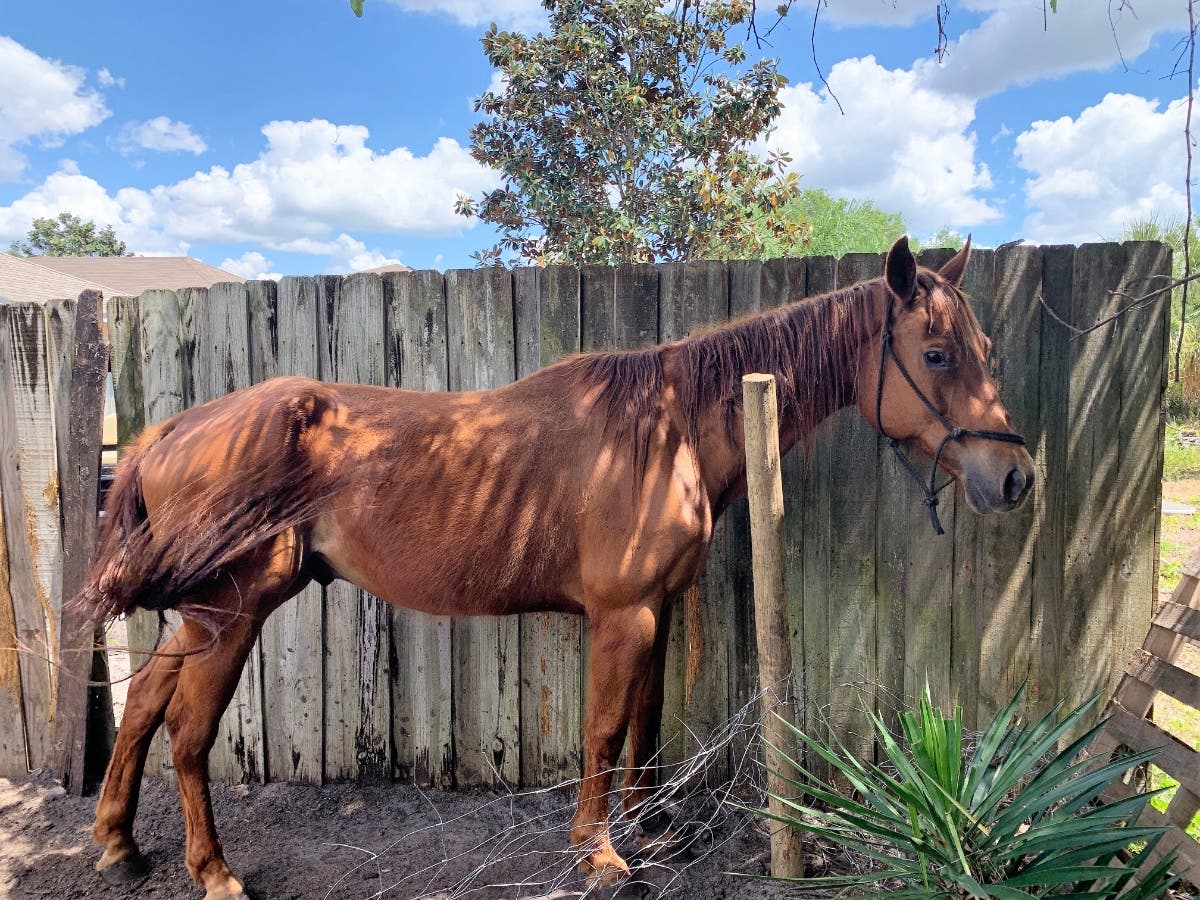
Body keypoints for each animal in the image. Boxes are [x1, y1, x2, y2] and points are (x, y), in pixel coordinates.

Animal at [75, 236, 1034, 900]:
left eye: (987, 349)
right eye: (938, 354)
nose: (1015, 476)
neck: (668, 429)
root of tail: (169, 431)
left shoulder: (658, 609)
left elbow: (646, 724)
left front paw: (653, 830)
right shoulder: (621, 614)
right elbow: (605, 730)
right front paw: (601, 853)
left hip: (199, 616)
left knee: (144, 706)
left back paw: (120, 844)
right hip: (231, 613)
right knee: (187, 732)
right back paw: (214, 872)